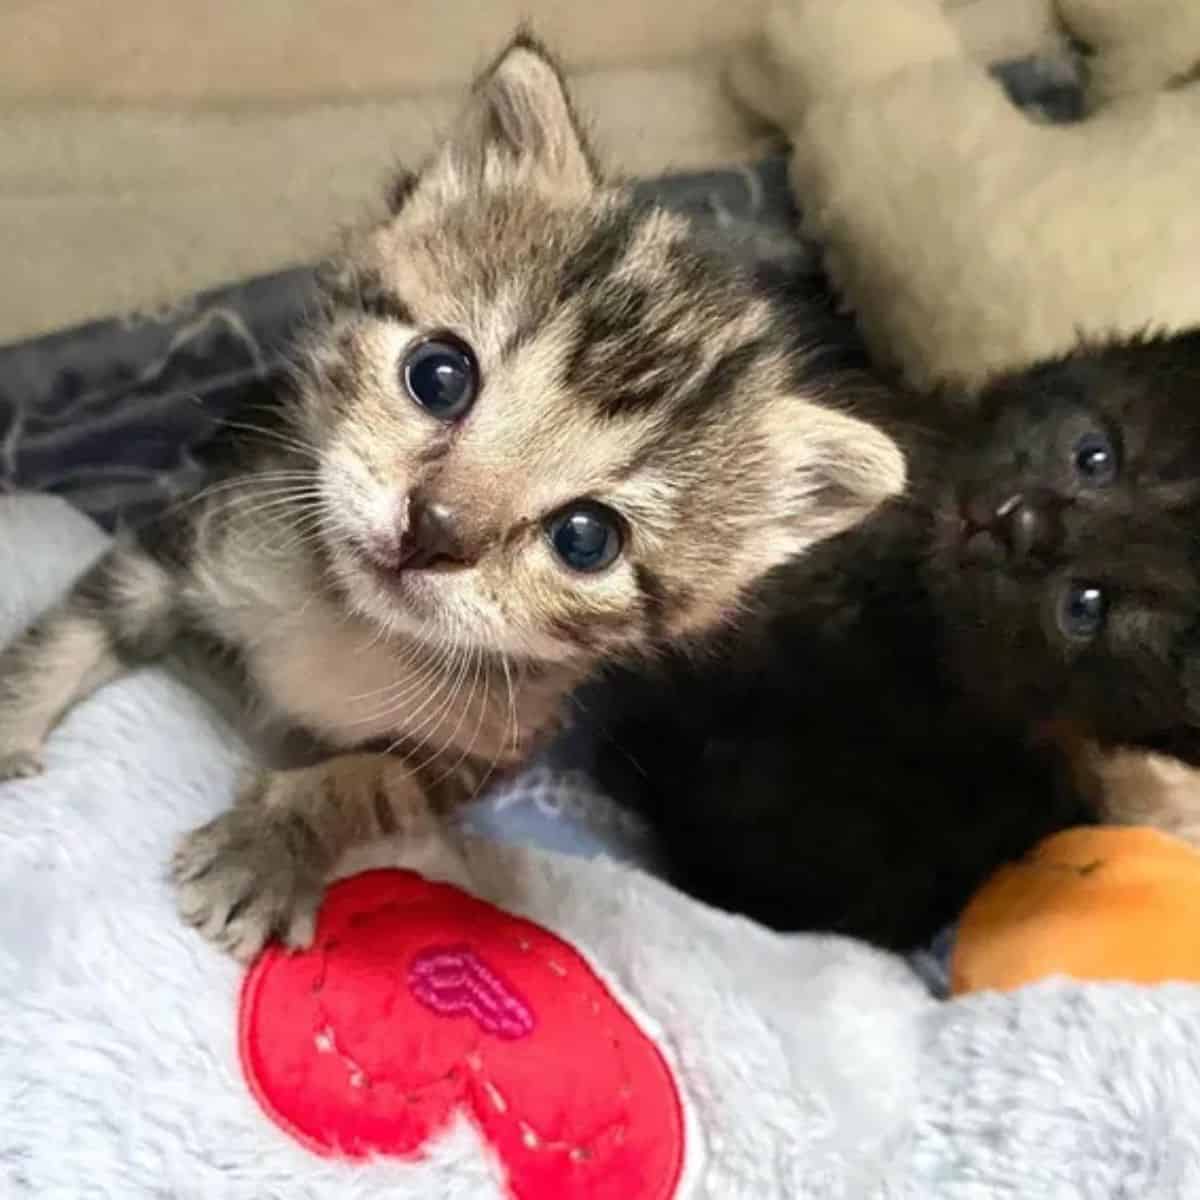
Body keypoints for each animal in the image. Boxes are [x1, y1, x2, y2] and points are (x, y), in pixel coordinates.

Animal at [0, 32, 902, 960]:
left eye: (586, 538)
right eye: (440, 375)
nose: (433, 527)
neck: (352, 628)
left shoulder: (480, 752)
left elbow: (364, 778)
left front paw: (269, 847)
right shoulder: (197, 534)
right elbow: (77, 627)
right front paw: (10, 717)